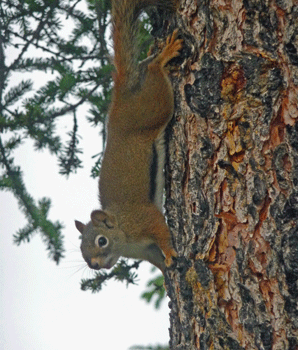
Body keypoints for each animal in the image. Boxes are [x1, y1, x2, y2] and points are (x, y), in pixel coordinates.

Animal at [74, 0, 182, 274]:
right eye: (81, 249)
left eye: (101, 241)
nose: (94, 265)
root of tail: (122, 93)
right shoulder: (146, 251)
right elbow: (157, 260)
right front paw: (166, 275)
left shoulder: (144, 218)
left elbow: (161, 231)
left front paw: (170, 253)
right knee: (145, 65)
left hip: (154, 106)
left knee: (154, 73)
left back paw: (164, 56)